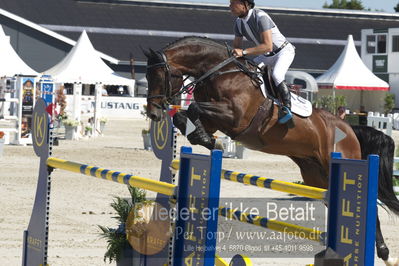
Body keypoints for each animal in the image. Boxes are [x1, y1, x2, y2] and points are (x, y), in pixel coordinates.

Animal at [144, 36, 399, 264]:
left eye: (160, 76)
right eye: (146, 76)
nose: (154, 113)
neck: (219, 72)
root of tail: (349, 128)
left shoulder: (234, 117)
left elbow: (194, 108)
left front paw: (212, 141)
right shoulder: (214, 120)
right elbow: (183, 117)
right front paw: (206, 140)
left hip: (336, 162)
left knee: (371, 211)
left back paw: (385, 254)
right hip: (317, 177)